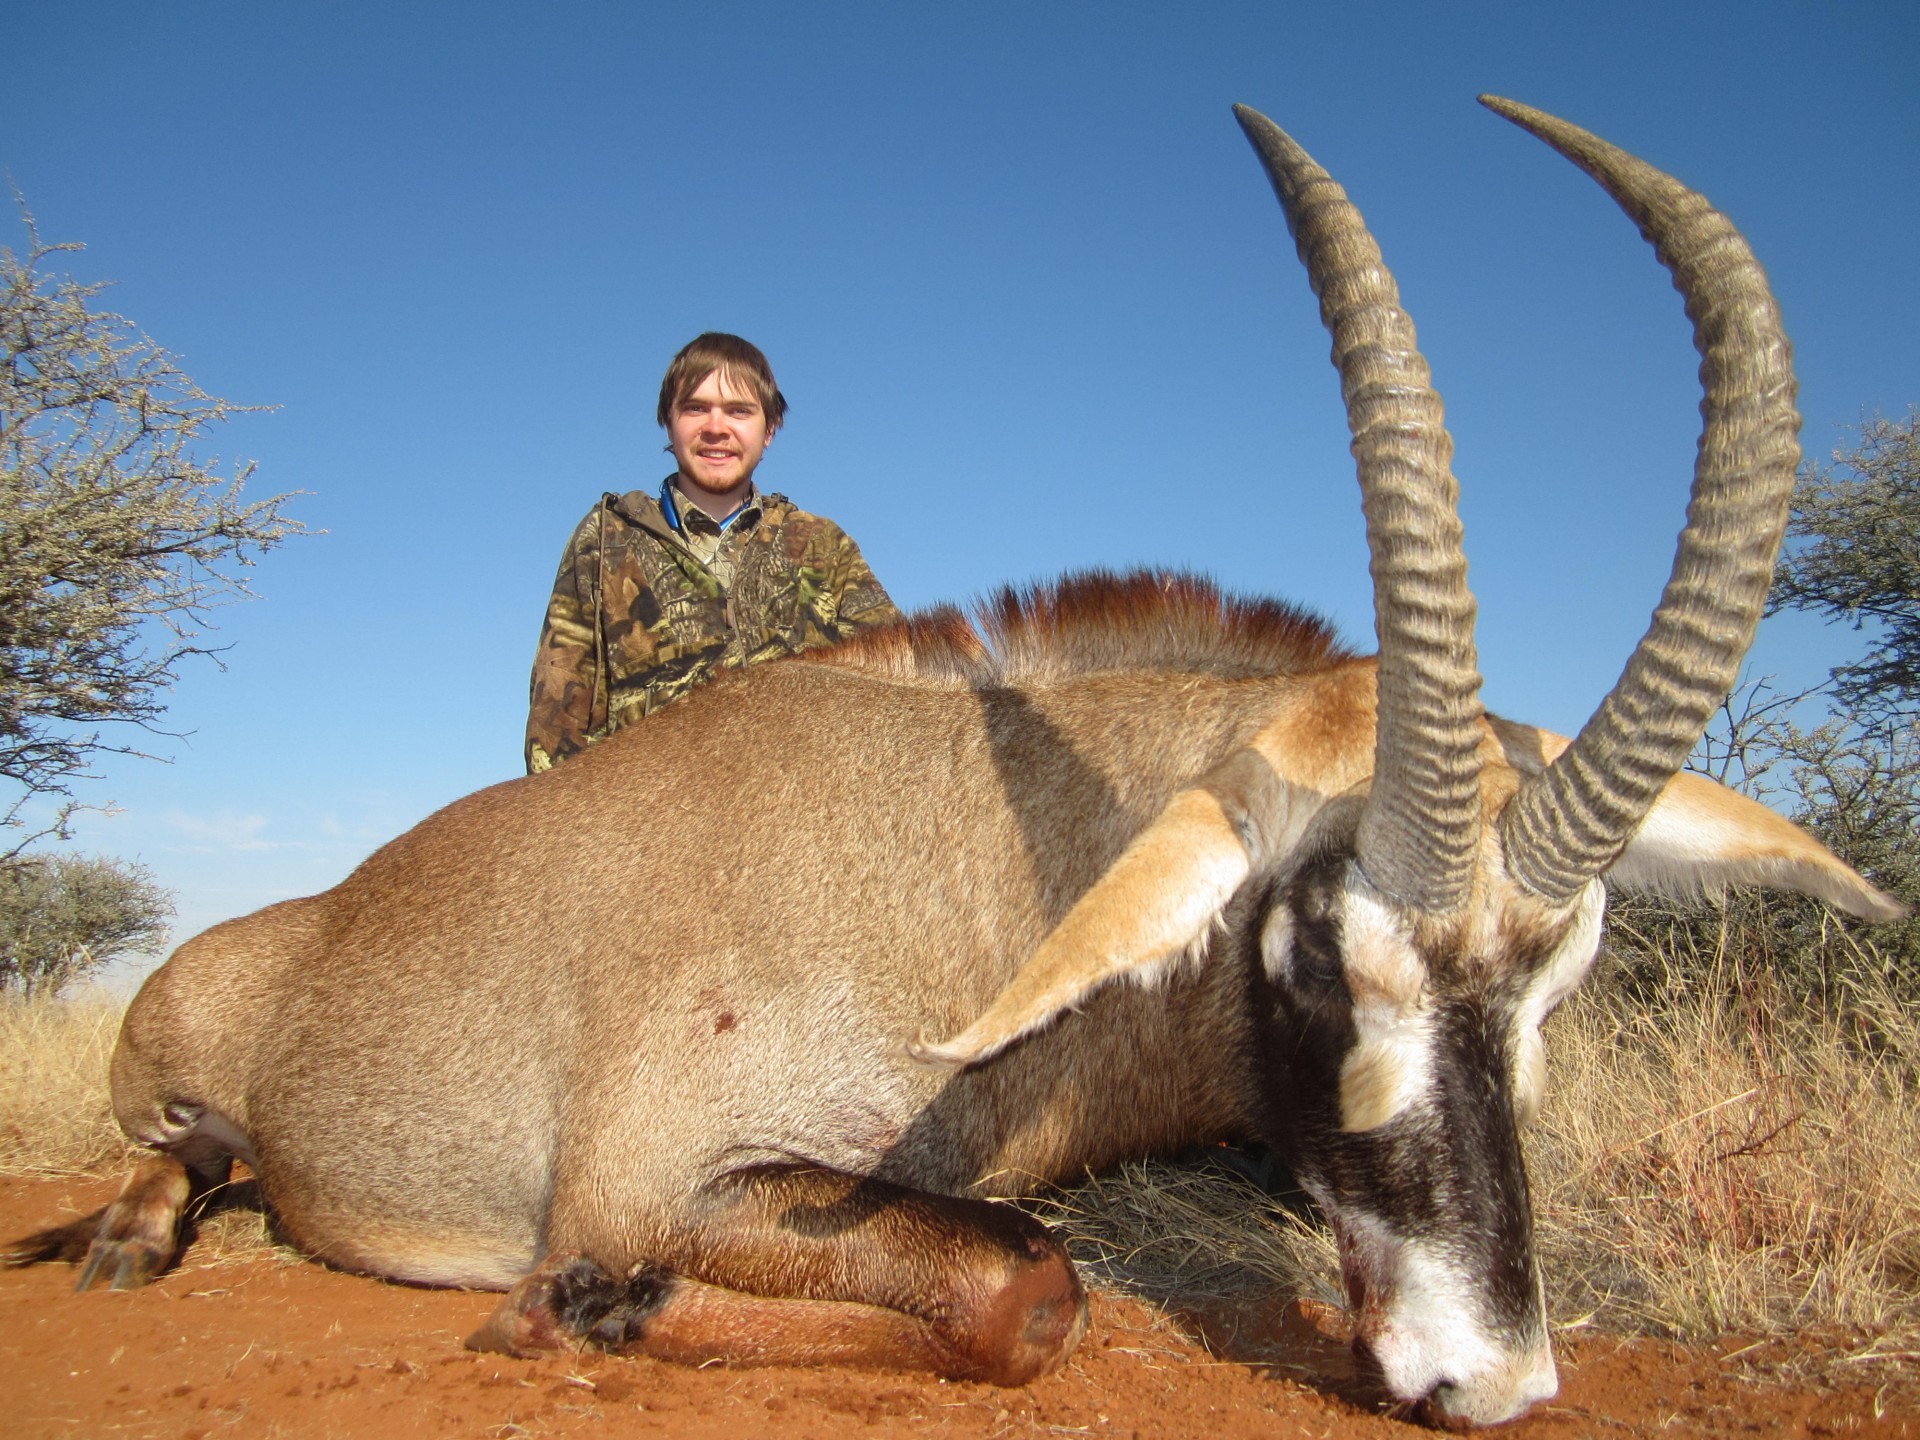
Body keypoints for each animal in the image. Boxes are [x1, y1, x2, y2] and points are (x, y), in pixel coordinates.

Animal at [11, 101, 1904, 1436]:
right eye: (1317, 952)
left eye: (1560, 978)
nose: (1489, 1377)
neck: (980, 876)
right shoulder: (656, 1183)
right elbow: (1026, 1295)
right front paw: (583, 1310)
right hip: (161, 1074)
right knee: (181, 1153)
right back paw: (121, 1237)